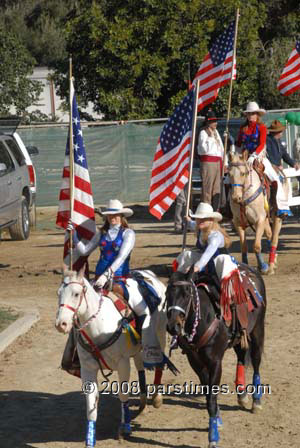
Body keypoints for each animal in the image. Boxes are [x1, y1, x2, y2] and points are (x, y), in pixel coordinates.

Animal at [55, 266, 170, 444]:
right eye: (58, 293)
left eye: (76, 293)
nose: (61, 324)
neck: (99, 327)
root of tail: (150, 275)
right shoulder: (88, 369)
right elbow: (91, 404)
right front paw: (90, 438)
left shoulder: (123, 363)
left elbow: (123, 394)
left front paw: (125, 428)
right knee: (140, 366)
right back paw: (143, 401)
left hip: (160, 334)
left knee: (158, 364)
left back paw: (157, 397)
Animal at [165, 266, 266, 448]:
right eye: (166, 294)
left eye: (186, 293)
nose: (172, 326)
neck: (203, 318)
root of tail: (251, 270)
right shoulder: (195, 362)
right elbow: (208, 394)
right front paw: (217, 418)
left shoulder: (215, 362)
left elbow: (211, 398)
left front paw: (213, 437)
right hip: (239, 338)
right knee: (241, 358)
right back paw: (242, 395)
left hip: (257, 331)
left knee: (256, 362)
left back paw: (256, 401)